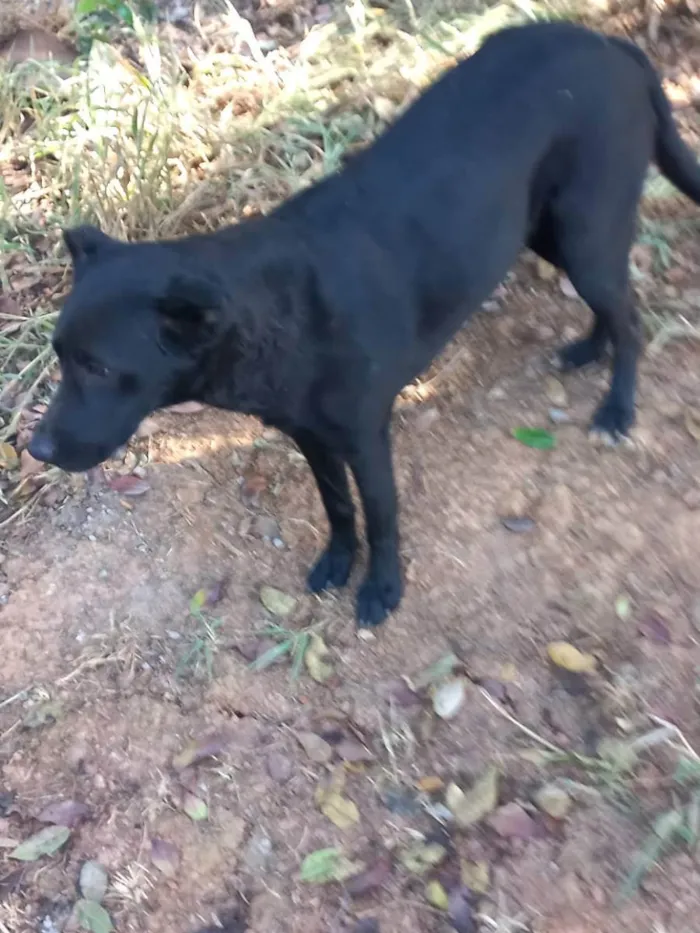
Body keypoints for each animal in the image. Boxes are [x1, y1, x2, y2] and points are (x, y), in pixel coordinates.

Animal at [30, 21, 700, 628]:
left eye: (101, 368)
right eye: (60, 356)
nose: (35, 450)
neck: (281, 315)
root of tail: (607, 42)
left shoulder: (367, 439)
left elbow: (381, 517)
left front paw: (382, 588)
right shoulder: (311, 438)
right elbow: (338, 508)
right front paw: (336, 560)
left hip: (586, 233)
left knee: (631, 317)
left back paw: (617, 409)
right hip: (546, 232)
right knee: (612, 309)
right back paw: (588, 350)